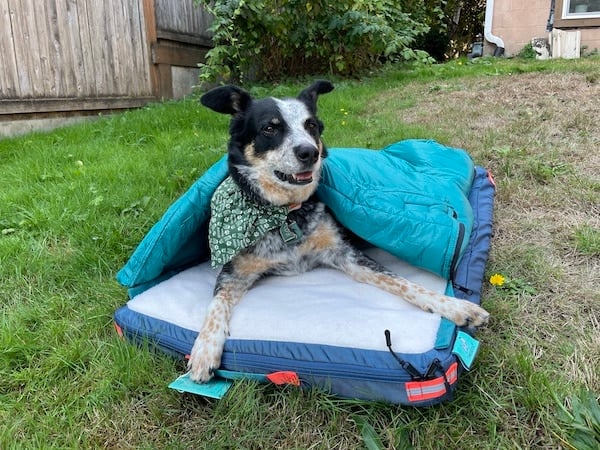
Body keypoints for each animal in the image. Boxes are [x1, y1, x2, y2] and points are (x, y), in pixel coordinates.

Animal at [188, 81, 488, 384]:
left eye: (310, 125)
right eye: (270, 128)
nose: (310, 152)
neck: (285, 214)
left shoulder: (345, 254)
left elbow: (404, 283)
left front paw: (456, 307)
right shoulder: (234, 271)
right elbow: (216, 304)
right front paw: (204, 351)